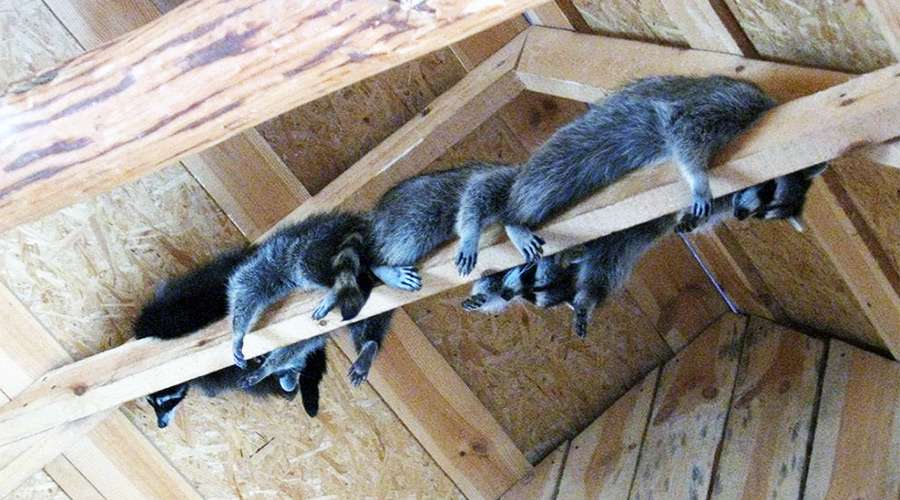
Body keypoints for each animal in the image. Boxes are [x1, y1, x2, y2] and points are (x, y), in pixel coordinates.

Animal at [455, 75, 777, 273]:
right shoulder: (730, 102)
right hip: (567, 150)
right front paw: (698, 180)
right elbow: (683, 127)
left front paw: (694, 216)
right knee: (532, 184)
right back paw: (511, 219)